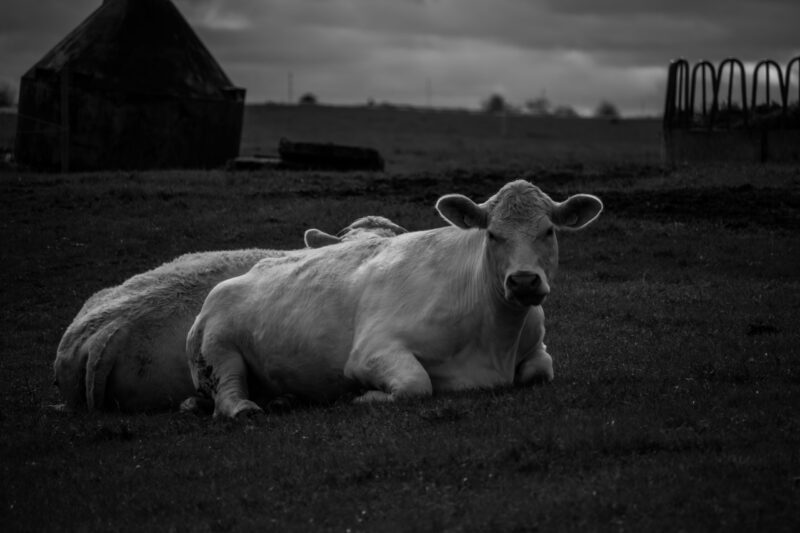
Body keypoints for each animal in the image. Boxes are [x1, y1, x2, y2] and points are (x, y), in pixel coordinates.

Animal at [187, 180, 603, 418]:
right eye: (492, 235)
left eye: (549, 231)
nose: (523, 281)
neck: (494, 337)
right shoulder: (372, 350)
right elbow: (417, 383)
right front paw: (361, 397)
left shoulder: (537, 345)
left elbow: (540, 369)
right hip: (217, 348)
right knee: (227, 397)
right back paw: (246, 408)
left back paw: (283, 400)